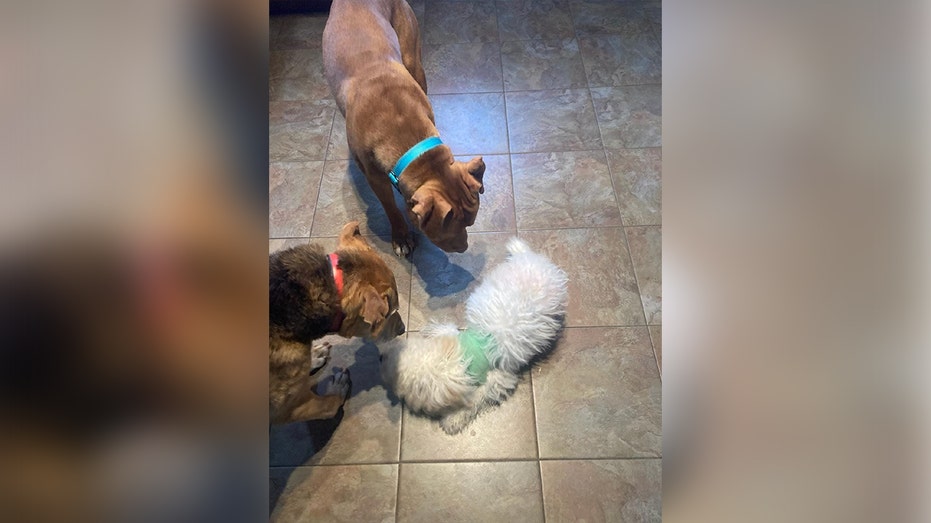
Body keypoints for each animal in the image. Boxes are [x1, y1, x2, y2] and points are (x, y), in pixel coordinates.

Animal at [266, 222, 404, 426]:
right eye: (390, 312)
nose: (403, 329)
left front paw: (315, 355)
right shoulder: (289, 409)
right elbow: (330, 404)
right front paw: (338, 387)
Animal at [324, 0, 488, 256]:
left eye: (470, 223)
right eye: (444, 233)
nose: (464, 248)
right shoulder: (375, 178)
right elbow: (389, 206)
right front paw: (401, 235)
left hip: (412, 57)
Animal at [378, 237, 568, 434]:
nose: (380, 356)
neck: (462, 356)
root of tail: (530, 258)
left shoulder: (494, 378)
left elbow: (473, 400)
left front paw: (453, 418)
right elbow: (445, 329)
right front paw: (431, 330)